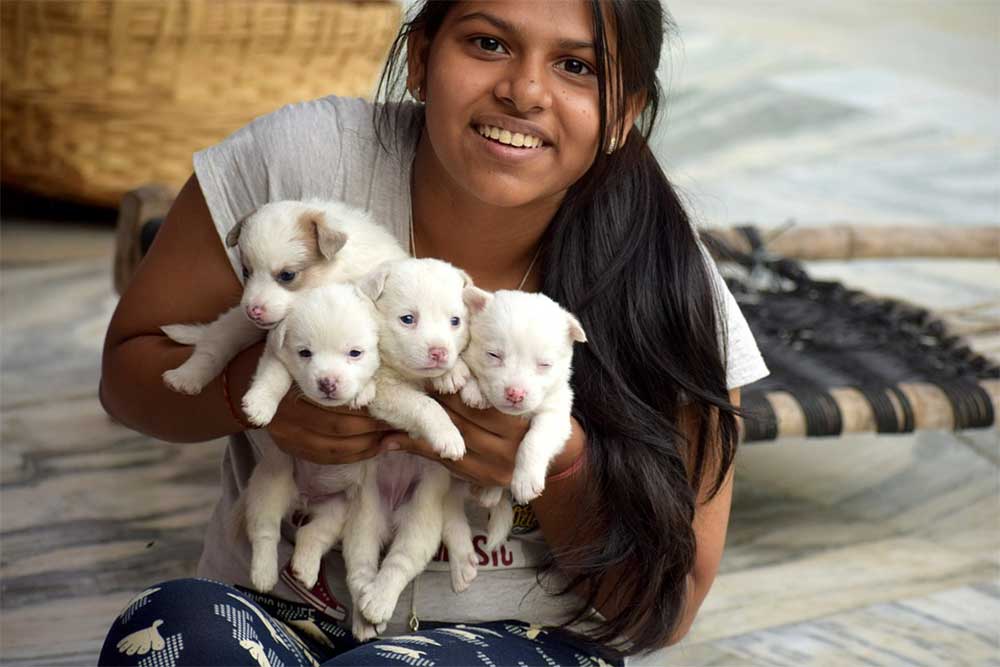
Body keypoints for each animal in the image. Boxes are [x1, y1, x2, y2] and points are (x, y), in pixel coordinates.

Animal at [162, 198, 404, 396]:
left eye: (287, 275)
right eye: (246, 272)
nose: (252, 311)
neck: (335, 272)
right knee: (213, 344)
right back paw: (185, 377)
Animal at [236, 282, 380, 596]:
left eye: (355, 353)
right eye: (305, 353)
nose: (327, 383)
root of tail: (305, 498)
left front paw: (364, 392)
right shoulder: (276, 358)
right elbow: (273, 380)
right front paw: (260, 406)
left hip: (337, 508)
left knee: (312, 534)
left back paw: (304, 569)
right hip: (269, 485)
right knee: (265, 532)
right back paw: (263, 575)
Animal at [458, 288, 588, 506]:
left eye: (545, 364)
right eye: (493, 355)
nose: (515, 393)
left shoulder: (556, 415)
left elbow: (535, 440)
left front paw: (526, 481)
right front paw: (474, 390)